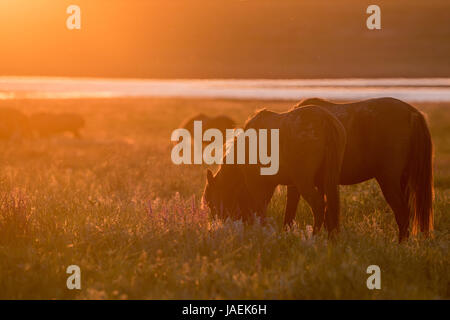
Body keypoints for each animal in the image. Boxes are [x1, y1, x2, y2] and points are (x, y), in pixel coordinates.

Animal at [202, 105, 346, 238]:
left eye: (211, 203)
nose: (217, 225)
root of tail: (326, 121)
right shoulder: (271, 185)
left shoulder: (256, 183)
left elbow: (260, 208)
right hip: (326, 181)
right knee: (331, 207)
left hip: (303, 181)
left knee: (318, 206)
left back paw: (314, 236)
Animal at [292, 97, 436, 242]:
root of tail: (412, 112)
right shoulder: (322, 184)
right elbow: (327, 215)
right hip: (403, 180)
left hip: (389, 181)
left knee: (402, 213)